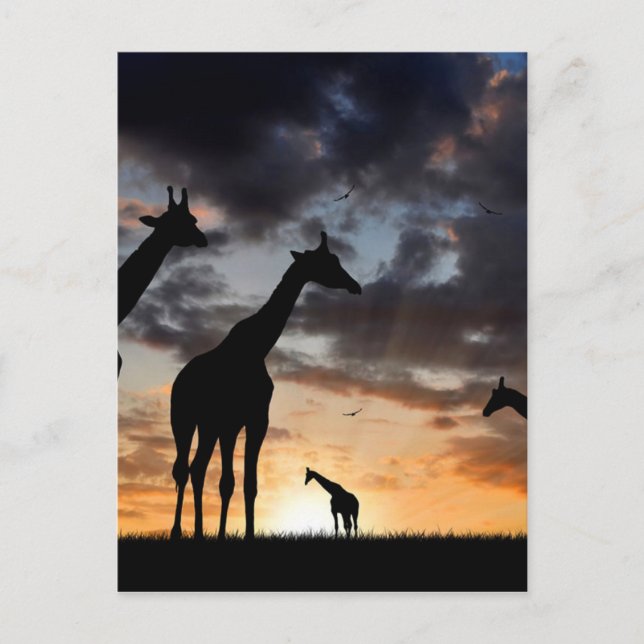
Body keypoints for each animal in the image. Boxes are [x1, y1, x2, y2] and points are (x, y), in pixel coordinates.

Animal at [169, 232, 361, 540]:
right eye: (329, 262)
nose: (355, 286)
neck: (258, 348)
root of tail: (179, 378)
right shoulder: (236, 420)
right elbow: (232, 482)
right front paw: (228, 534)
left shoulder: (253, 419)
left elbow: (246, 484)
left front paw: (241, 535)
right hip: (184, 419)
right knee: (183, 470)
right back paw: (177, 531)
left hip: (209, 426)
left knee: (198, 469)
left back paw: (198, 532)